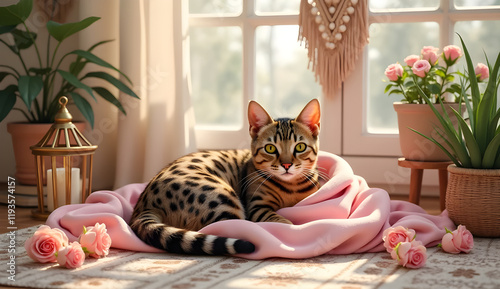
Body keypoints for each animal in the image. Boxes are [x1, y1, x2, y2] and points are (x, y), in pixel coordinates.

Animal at [130, 99, 320, 254]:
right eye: (270, 148)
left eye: (300, 147)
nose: (286, 165)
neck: (291, 188)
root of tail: (143, 205)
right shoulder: (257, 207)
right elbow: (281, 221)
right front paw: (292, 229)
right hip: (223, 197)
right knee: (229, 227)